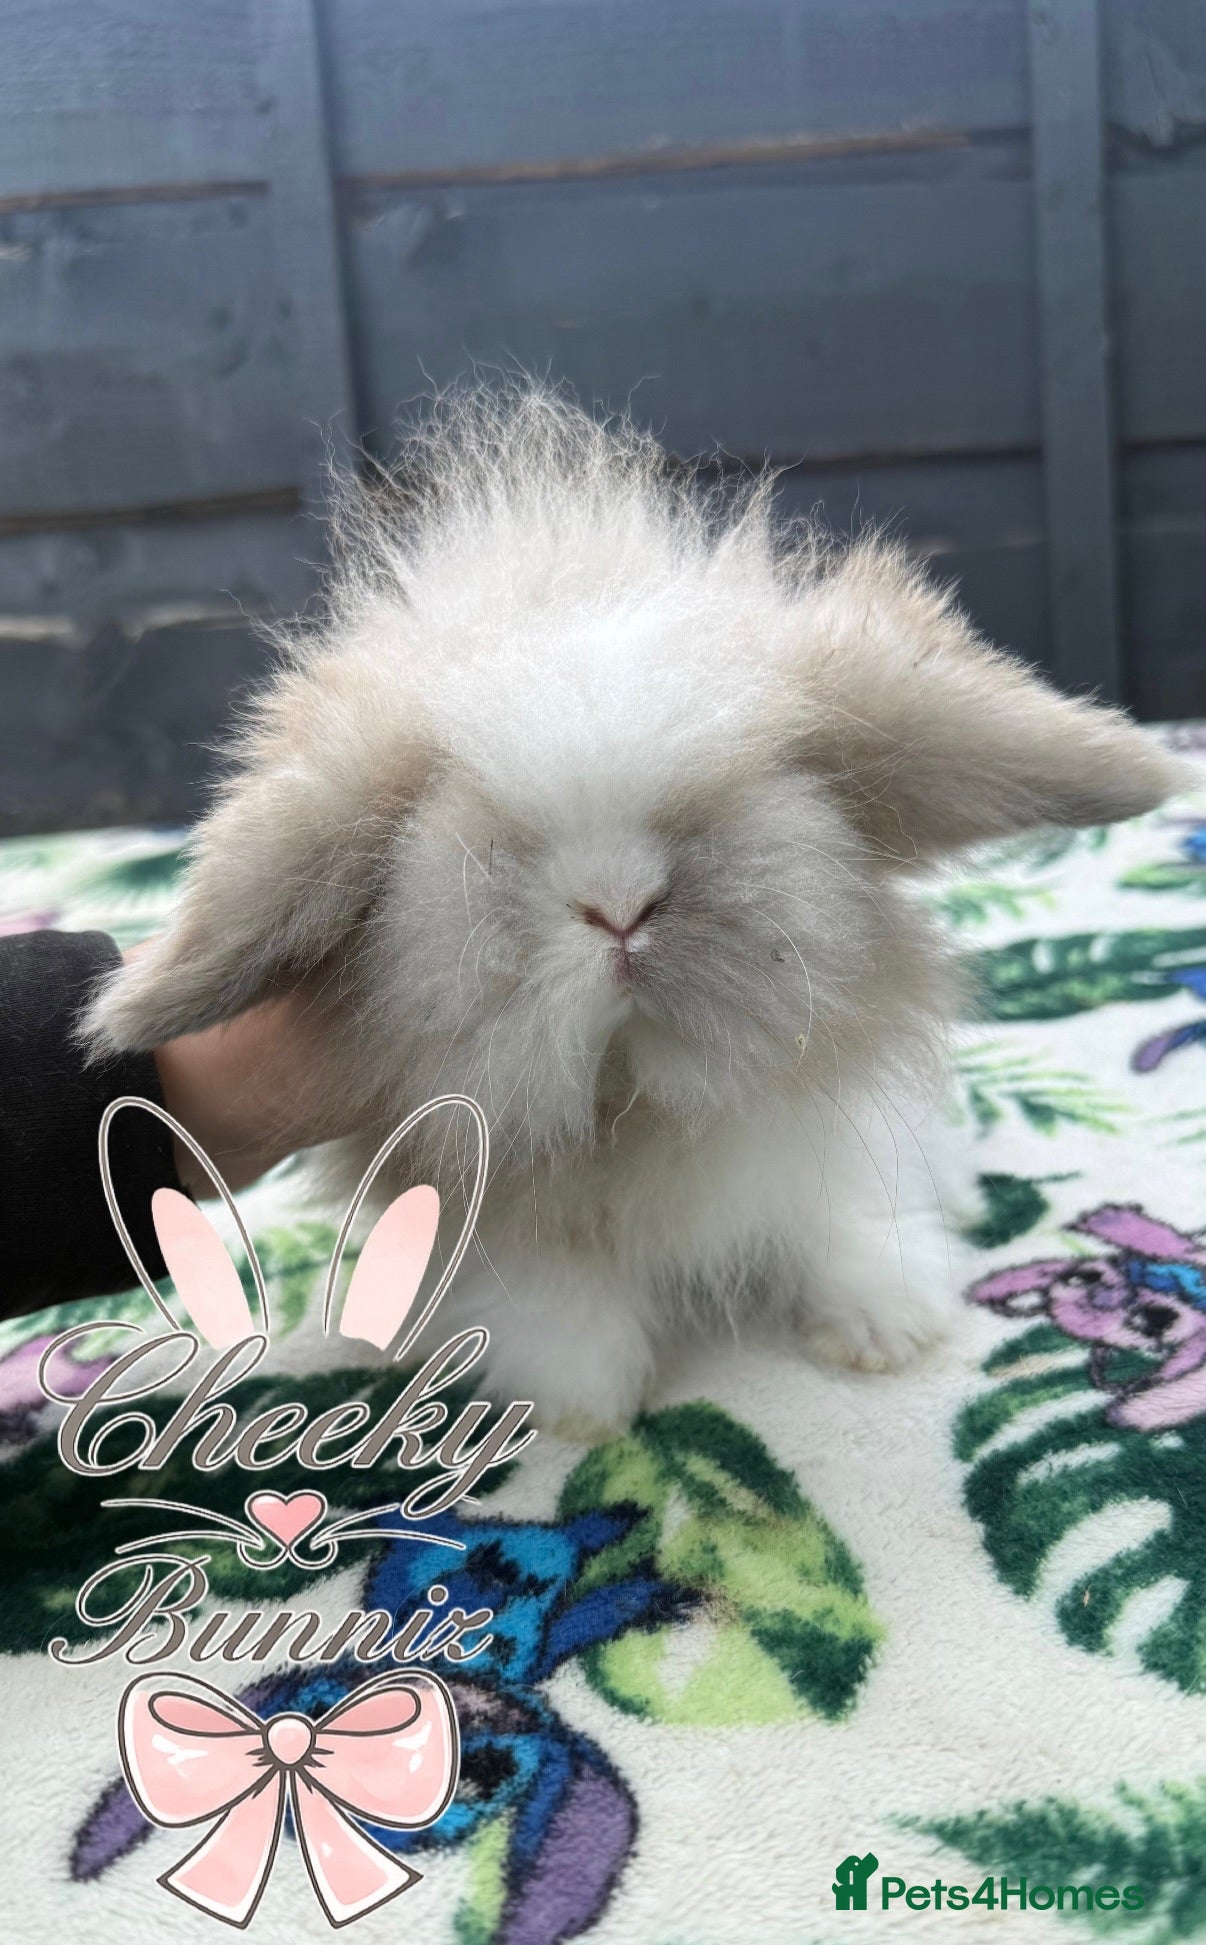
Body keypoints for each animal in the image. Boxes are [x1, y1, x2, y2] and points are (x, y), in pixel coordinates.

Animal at [84, 385, 1185, 1433]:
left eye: (734, 779)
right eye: (478, 820)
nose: (618, 905)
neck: (633, 1080)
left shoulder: (833, 1138)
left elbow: (843, 1222)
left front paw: (887, 1334)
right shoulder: (499, 1213)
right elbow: (559, 1303)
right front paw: (583, 1407)